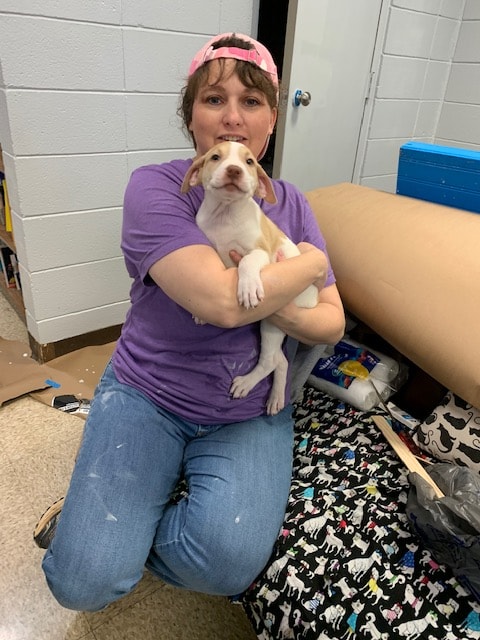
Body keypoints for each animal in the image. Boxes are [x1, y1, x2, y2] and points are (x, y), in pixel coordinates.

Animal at [181, 140, 318, 416]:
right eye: (215, 157)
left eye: (249, 162)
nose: (234, 170)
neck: (225, 214)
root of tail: (314, 298)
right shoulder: (209, 246)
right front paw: (199, 312)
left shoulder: (261, 252)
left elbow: (246, 261)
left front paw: (248, 288)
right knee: (280, 360)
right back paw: (275, 397)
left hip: (273, 321)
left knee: (270, 361)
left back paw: (246, 383)